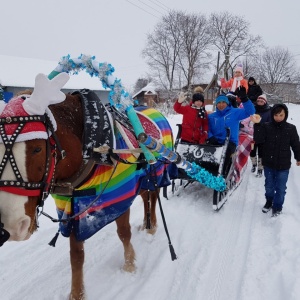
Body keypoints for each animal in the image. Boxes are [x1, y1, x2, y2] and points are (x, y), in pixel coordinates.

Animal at [0, 73, 173, 300]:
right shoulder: (73, 208)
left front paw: (129, 264)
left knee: (152, 198)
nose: (11, 226)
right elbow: (76, 255)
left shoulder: (120, 198)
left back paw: (151, 227)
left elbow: (123, 233)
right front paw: (77, 293)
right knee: (145, 198)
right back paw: (146, 223)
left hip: (155, 175)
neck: (93, 147)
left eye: (37, 148)